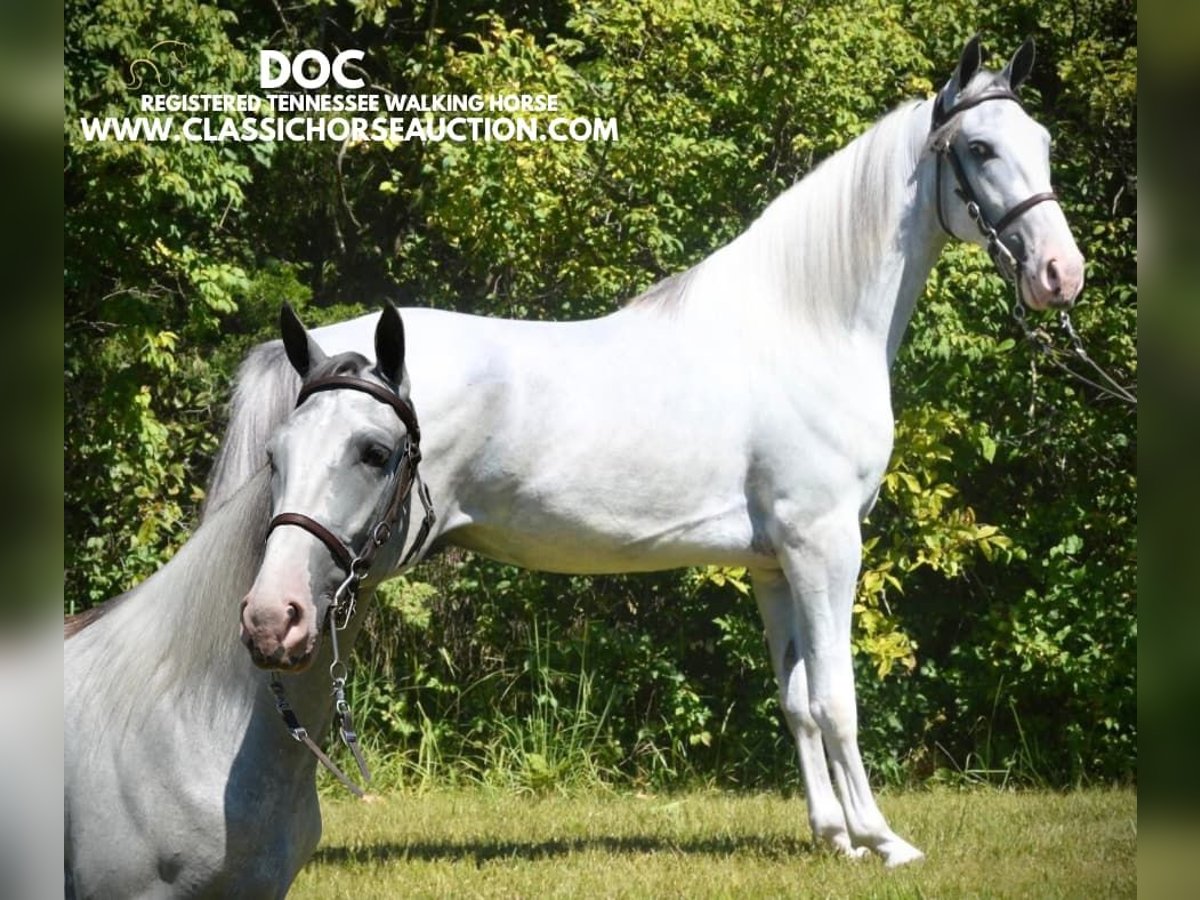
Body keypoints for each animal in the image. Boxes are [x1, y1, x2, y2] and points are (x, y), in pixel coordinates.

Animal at [211, 37, 1084, 868]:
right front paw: (882, 841)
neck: (805, 324)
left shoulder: (774, 563)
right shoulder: (825, 543)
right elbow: (838, 700)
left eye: (1042, 140)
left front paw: (833, 837)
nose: (1060, 274)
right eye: (979, 148)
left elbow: (797, 701)